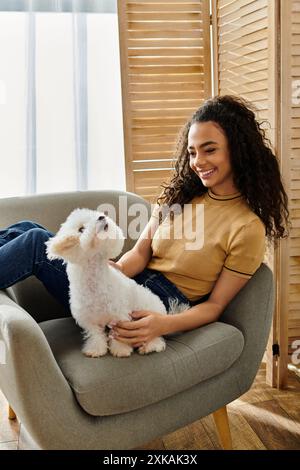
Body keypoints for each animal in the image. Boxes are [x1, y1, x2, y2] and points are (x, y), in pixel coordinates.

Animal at [47, 207, 169, 358]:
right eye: (81, 229)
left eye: (96, 215)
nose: (101, 217)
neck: (94, 280)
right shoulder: (88, 319)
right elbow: (95, 335)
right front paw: (96, 349)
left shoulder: (120, 316)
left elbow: (117, 336)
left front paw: (121, 350)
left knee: (155, 336)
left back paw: (150, 346)